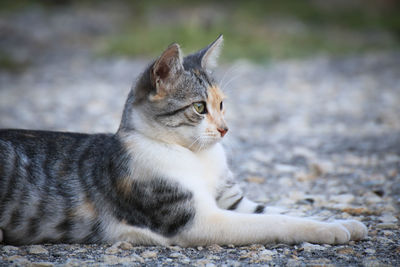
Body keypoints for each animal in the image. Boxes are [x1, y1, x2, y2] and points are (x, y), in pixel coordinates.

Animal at [0, 35, 368, 247]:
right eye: (199, 107)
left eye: (222, 105)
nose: (225, 129)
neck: (196, 157)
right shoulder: (194, 219)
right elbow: (275, 221)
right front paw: (331, 231)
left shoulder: (233, 201)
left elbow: (289, 211)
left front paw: (342, 222)